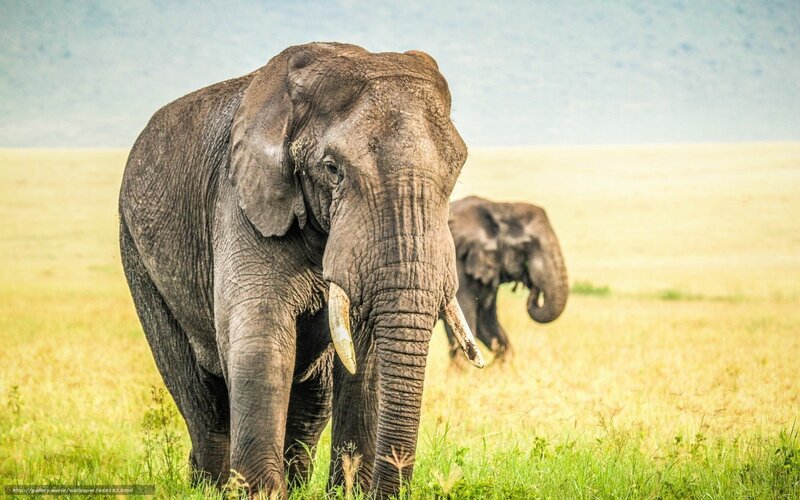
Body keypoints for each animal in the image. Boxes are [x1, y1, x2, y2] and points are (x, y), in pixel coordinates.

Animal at [118, 42, 485, 499]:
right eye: (332, 169)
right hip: (136, 252)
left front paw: (348, 492)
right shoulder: (239, 199)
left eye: (457, 170)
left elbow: (365, 357)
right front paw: (261, 493)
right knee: (199, 396)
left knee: (312, 399)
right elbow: (261, 339)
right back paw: (209, 486)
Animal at [443, 196, 568, 362]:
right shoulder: (457, 266)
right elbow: (467, 324)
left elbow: (487, 325)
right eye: (526, 245)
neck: (499, 207)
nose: (534, 288)